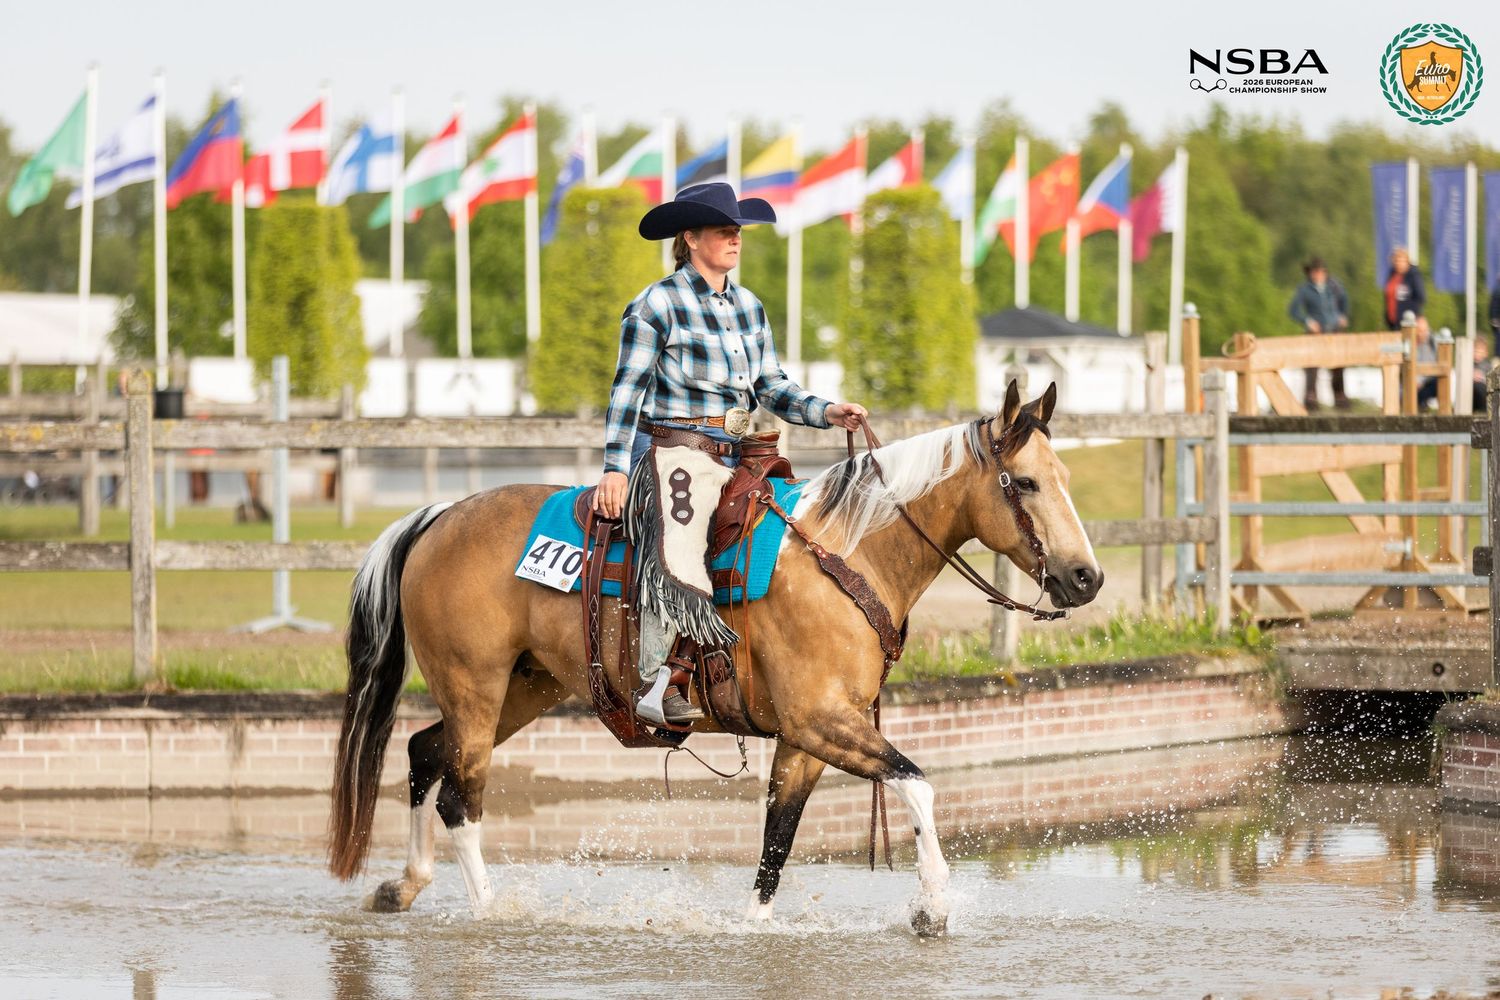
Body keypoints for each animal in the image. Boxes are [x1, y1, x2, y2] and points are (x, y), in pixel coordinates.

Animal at [327, 380, 1102, 936]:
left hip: (522, 689)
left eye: (1066, 477)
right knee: (460, 797)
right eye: (1025, 483)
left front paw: (753, 924)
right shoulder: (821, 721)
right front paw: (933, 906)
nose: (1085, 577)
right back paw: (491, 911)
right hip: (476, 686)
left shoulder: (806, 739)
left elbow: (777, 839)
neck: (845, 556)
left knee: (425, 754)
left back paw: (403, 886)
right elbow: (917, 785)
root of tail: (438, 517)